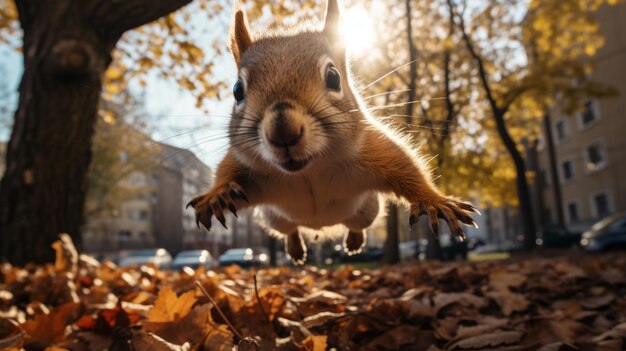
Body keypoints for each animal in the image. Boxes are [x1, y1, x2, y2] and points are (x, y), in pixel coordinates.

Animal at [186, 0, 478, 264]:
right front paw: (217, 194)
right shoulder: (246, 165)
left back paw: (354, 242)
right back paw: (296, 249)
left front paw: (435, 201)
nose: (283, 133)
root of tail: (321, 226)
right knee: (290, 230)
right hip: (274, 217)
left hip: (368, 210)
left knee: (358, 225)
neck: (309, 170)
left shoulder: (371, 147)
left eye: (333, 77)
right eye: (237, 90)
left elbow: (405, 167)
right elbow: (227, 170)